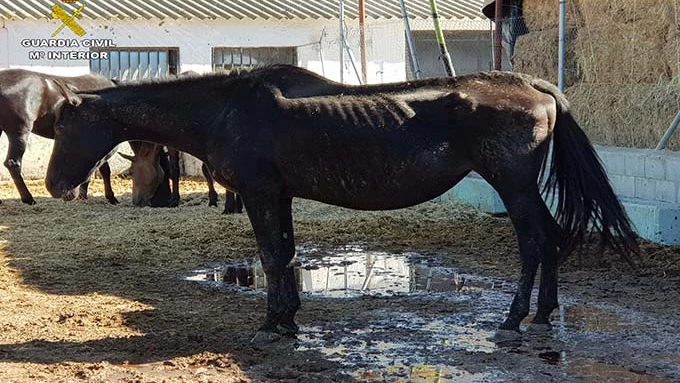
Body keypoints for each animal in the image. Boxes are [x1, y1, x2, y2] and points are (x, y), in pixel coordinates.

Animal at [0, 70, 119, 206]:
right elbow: (104, 170)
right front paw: (111, 197)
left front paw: (83, 195)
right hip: (20, 131)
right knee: (13, 163)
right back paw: (29, 198)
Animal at [45, 64, 640, 344]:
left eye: (67, 124)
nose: (53, 185)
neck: (227, 108)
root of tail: (535, 86)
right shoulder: (279, 195)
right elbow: (284, 256)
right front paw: (287, 321)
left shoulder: (260, 194)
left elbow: (271, 258)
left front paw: (271, 326)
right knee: (551, 238)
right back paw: (543, 314)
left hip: (512, 184)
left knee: (536, 241)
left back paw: (515, 319)